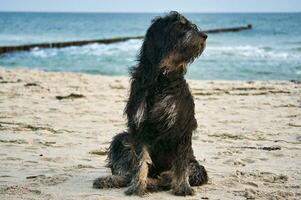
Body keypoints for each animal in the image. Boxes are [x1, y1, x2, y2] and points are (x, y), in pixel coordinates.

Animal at [92, 11, 207, 196]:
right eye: (180, 26)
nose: (204, 36)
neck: (162, 79)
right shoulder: (140, 128)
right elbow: (140, 162)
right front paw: (138, 187)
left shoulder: (181, 127)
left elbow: (181, 165)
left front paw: (183, 187)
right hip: (123, 139)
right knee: (129, 173)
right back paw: (112, 180)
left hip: (196, 166)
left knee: (169, 177)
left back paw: (158, 181)